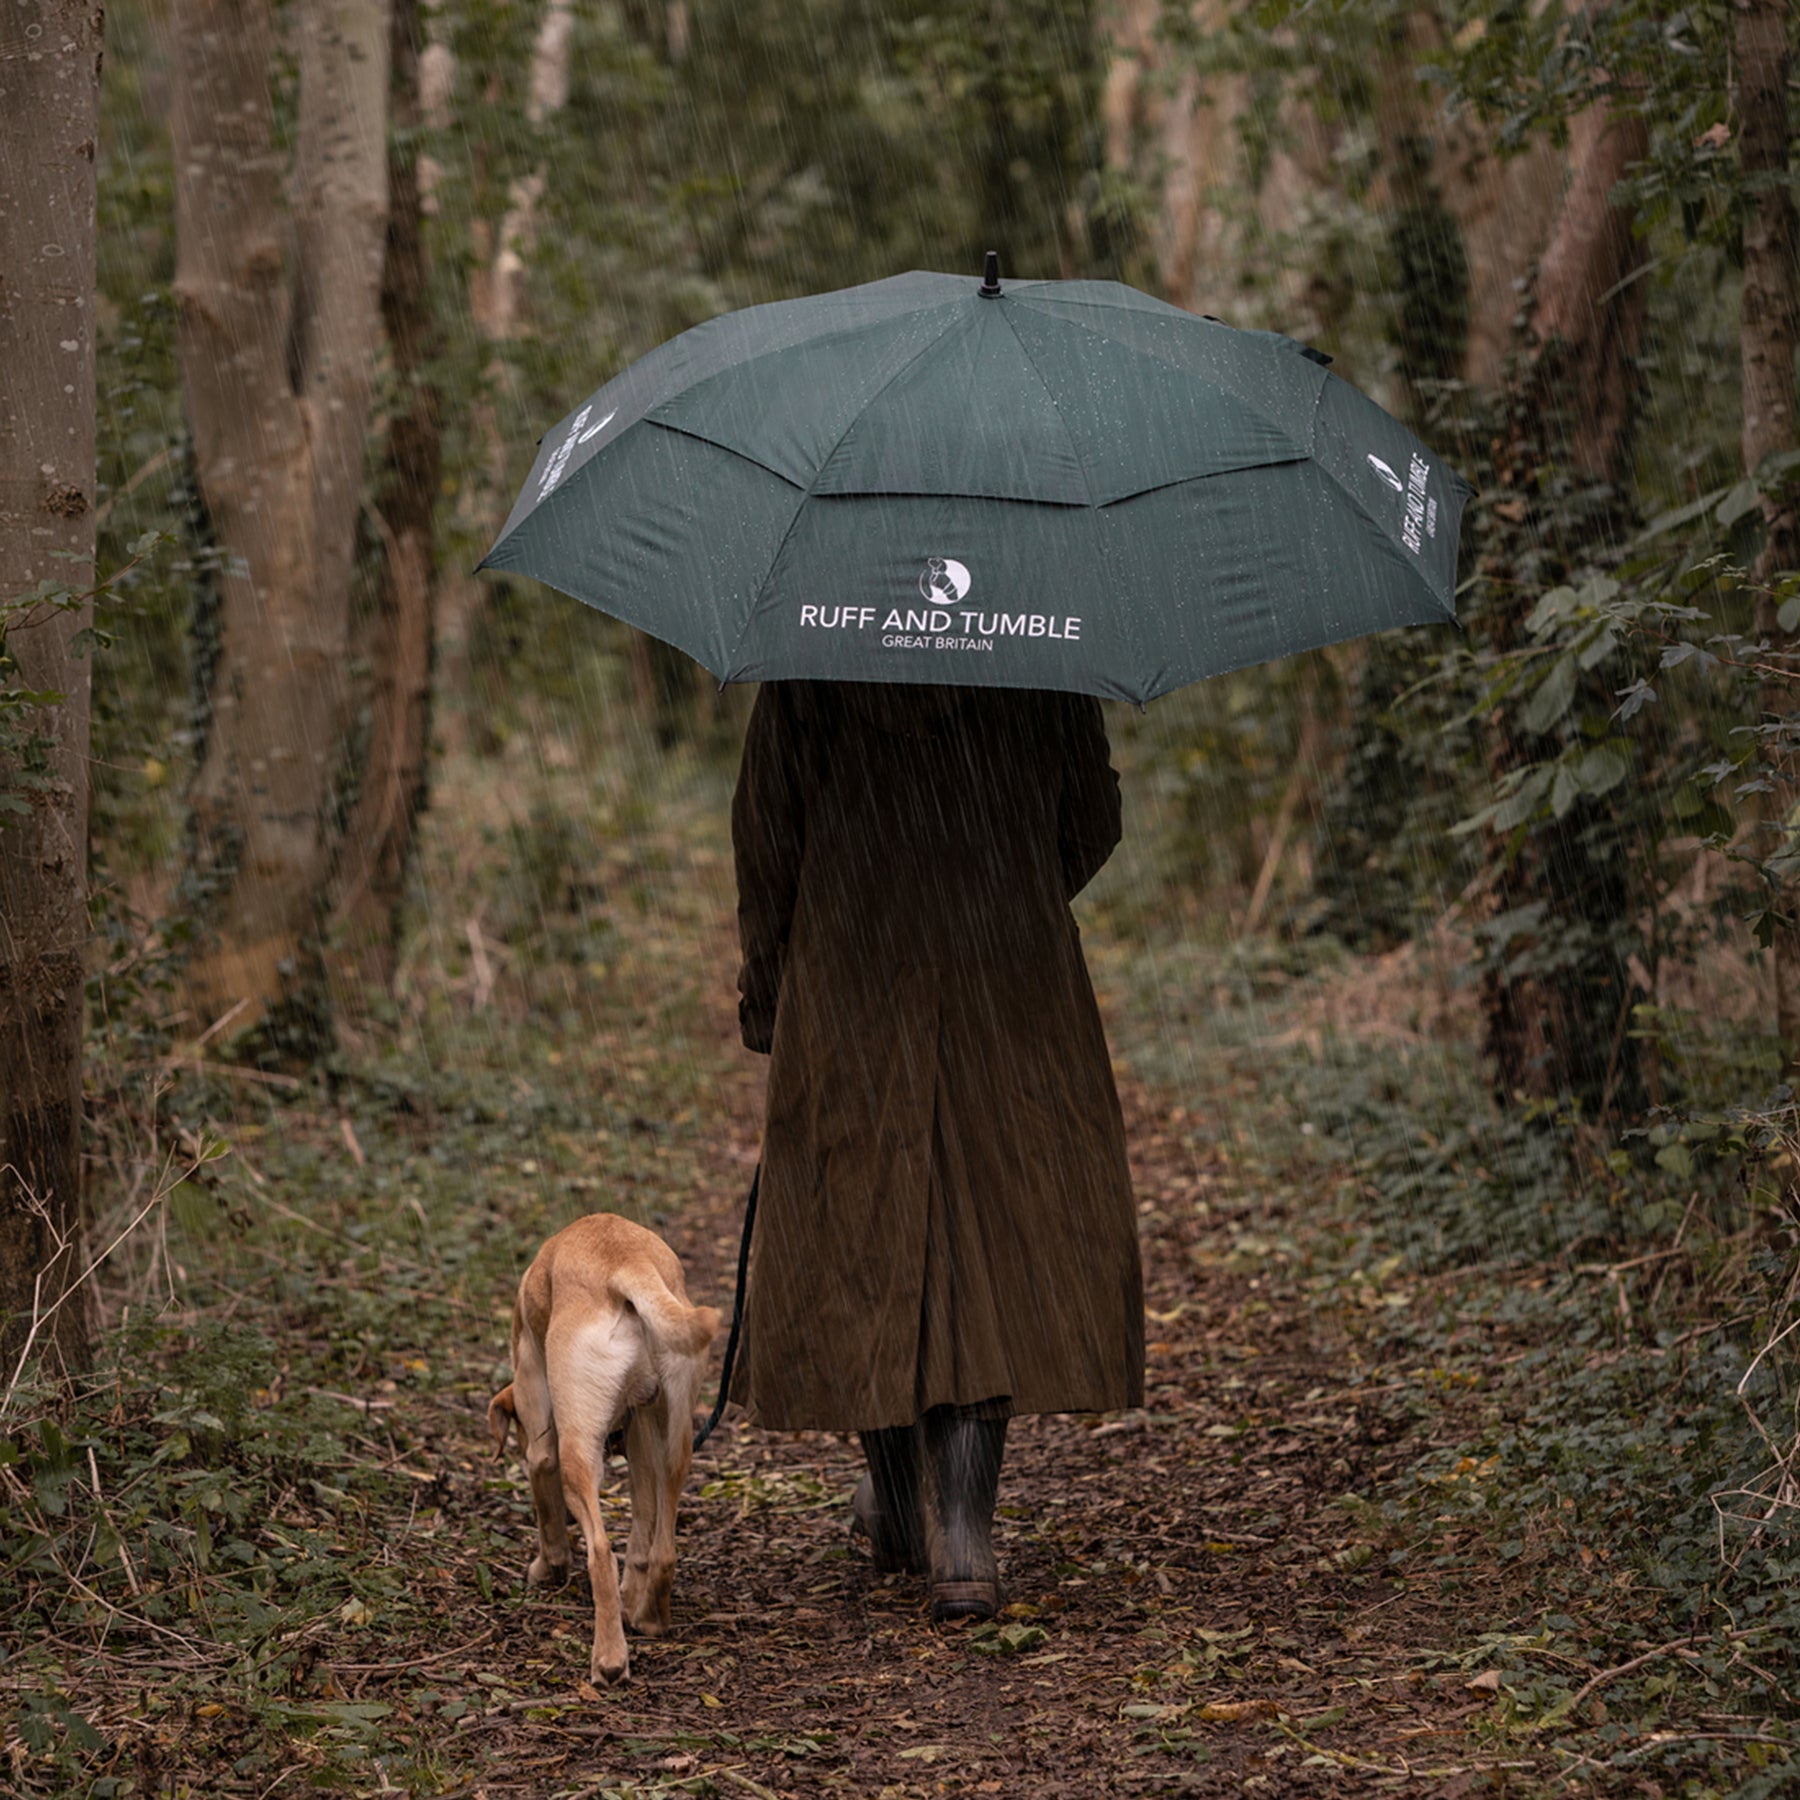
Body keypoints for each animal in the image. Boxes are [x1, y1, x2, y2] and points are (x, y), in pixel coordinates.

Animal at [493, 1209, 723, 1684]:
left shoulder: (542, 1448)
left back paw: (610, 1659)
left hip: (576, 1455)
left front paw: (548, 1568)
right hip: (676, 1440)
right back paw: (650, 1615)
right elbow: (641, 1531)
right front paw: (632, 1596)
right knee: (664, 1548)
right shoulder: (641, 1440)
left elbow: (550, 1522)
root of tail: (628, 1262)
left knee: (600, 1552)